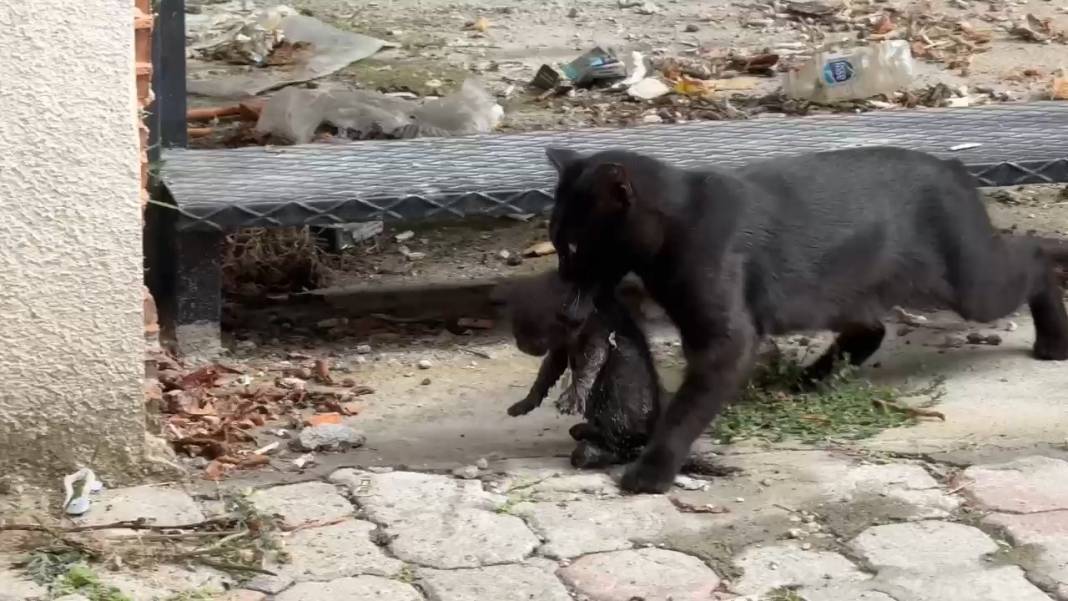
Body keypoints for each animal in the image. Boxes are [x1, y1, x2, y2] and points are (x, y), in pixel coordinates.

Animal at [499, 269, 657, 469]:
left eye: (532, 326)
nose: (520, 344)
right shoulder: (560, 347)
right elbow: (548, 371)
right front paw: (523, 405)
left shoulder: (600, 335)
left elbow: (591, 363)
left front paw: (570, 400)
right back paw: (584, 431)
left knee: (622, 443)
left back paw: (591, 452)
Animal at [542, 146, 1068, 493]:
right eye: (555, 239)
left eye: (573, 244)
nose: (562, 273)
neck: (681, 219)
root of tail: (953, 166)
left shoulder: (726, 340)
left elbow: (687, 408)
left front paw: (652, 470)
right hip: (843, 291)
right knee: (870, 330)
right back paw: (806, 379)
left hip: (971, 284)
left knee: (1037, 252)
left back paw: (1053, 340)